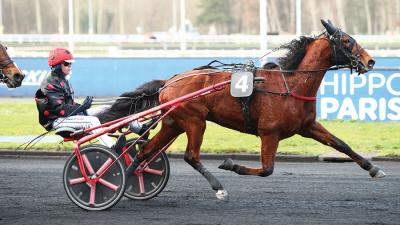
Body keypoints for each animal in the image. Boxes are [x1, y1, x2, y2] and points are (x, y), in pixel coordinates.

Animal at [96, 20, 384, 200]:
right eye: (346, 41)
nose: (370, 61)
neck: (290, 84)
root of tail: (170, 81)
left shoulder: (307, 126)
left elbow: (340, 144)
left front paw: (373, 168)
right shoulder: (269, 133)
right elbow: (267, 169)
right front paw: (230, 163)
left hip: (174, 123)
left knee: (145, 151)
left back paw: (123, 178)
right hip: (195, 121)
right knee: (191, 156)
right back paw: (218, 188)